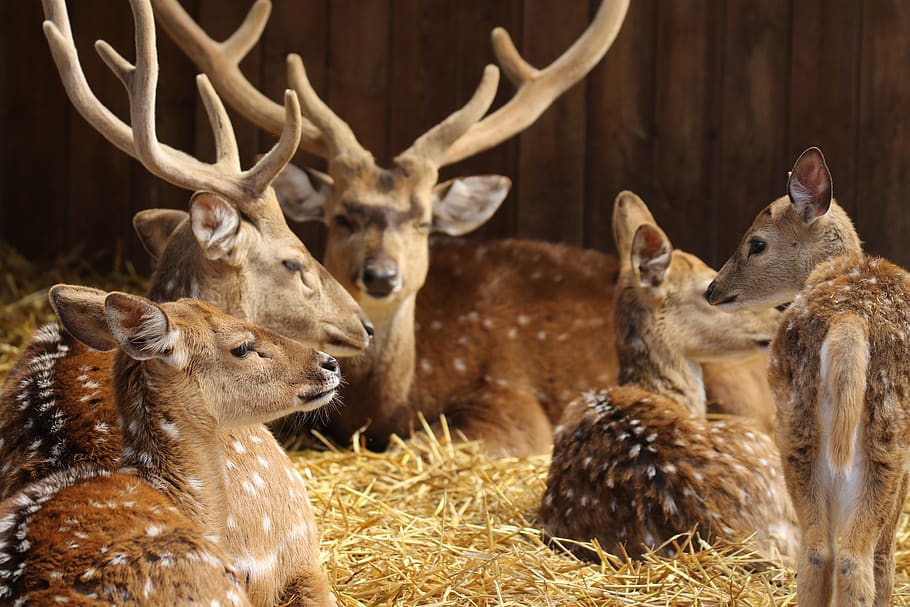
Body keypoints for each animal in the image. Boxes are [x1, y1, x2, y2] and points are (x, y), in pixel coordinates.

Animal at [708, 148, 910, 607]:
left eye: (757, 243)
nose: (712, 290)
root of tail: (849, 320)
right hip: (886, 443)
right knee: (861, 556)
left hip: (796, 431)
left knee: (817, 552)